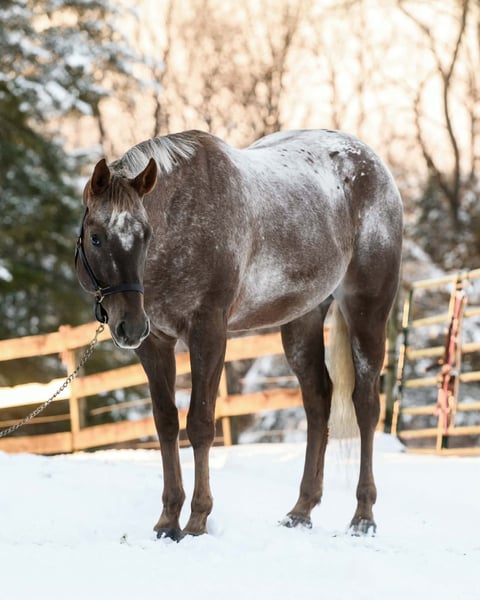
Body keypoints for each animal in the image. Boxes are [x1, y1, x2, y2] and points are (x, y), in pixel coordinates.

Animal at [75, 129, 402, 541]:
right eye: (96, 237)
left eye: (146, 235)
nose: (129, 326)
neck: (184, 218)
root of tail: (372, 162)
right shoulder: (154, 343)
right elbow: (166, 423)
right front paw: (168, 521)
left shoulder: (208, 333)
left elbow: (200, 424)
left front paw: (197, 521)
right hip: (304, 319)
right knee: (318, 401)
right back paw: (301, 510)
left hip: (367, 310)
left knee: (366, 405)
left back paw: (363, 516)